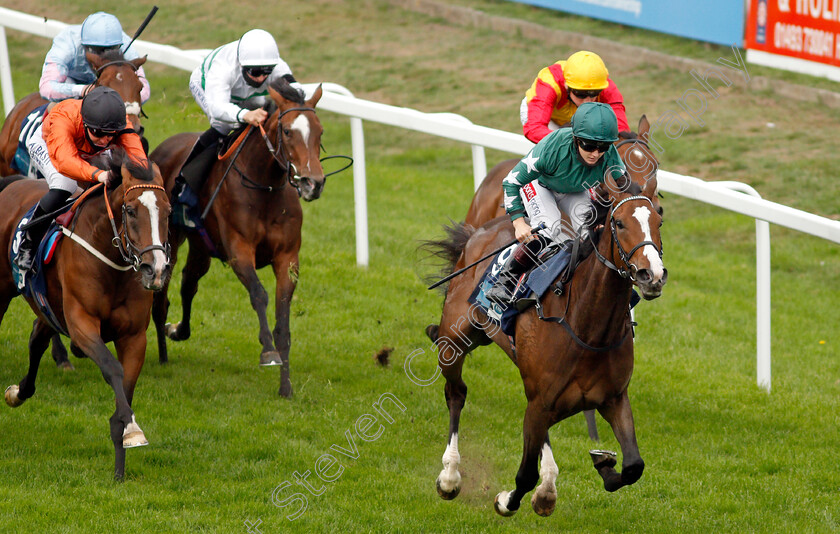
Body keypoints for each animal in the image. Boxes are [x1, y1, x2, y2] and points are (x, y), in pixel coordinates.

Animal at [0, 151, 171, 482]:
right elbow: (113, 369)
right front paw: (132, 428)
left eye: (168, 212)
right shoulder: (81, 323)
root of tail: (12, 185)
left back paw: (20, 392)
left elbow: (126, 386)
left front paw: (122, 455)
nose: (155, 270)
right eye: (130, 211)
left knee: (36, 340)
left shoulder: (134, 336)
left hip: (48, 306)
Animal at [150, 78, 324, 398]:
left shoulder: (287, 258)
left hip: (201, 246)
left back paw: (177, 330)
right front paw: (268, 353)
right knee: (161, 296)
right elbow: (259, 294)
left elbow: (283, 319)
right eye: (287, 131)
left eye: (320, 132)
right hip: (168, 238)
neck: (265, 186)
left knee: (189, 282)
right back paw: (163, 351)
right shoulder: (239, 251)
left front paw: (286, 386)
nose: (312, 183)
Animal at [426, 174, 668, 516]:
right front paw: (505, 501)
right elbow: (525, 474)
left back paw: (548, 486)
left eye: (659, 220)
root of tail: (479, 231)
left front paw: (604, 464)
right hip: (454, 340)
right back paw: (450, 475)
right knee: (456, 393)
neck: (588, 328)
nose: (653, 275)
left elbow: (634, 465)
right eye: (619, 223)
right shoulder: (540, 403)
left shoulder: (613, 398)